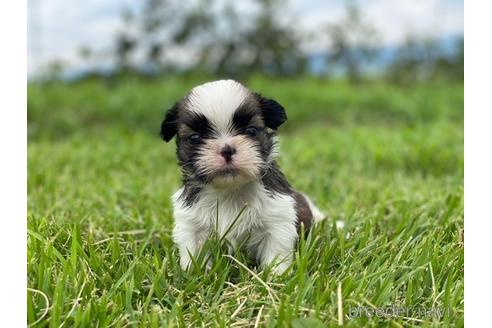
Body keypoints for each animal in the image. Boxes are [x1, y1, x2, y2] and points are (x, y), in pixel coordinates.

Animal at [160, 80, 324, 274]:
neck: (230, 190)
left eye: (251, 131)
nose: (227, 149)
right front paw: (195, 275)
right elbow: (194, 253)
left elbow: (276, 254)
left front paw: (276, 277)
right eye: (194, 137)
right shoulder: (191, 225)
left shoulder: (277, 221)